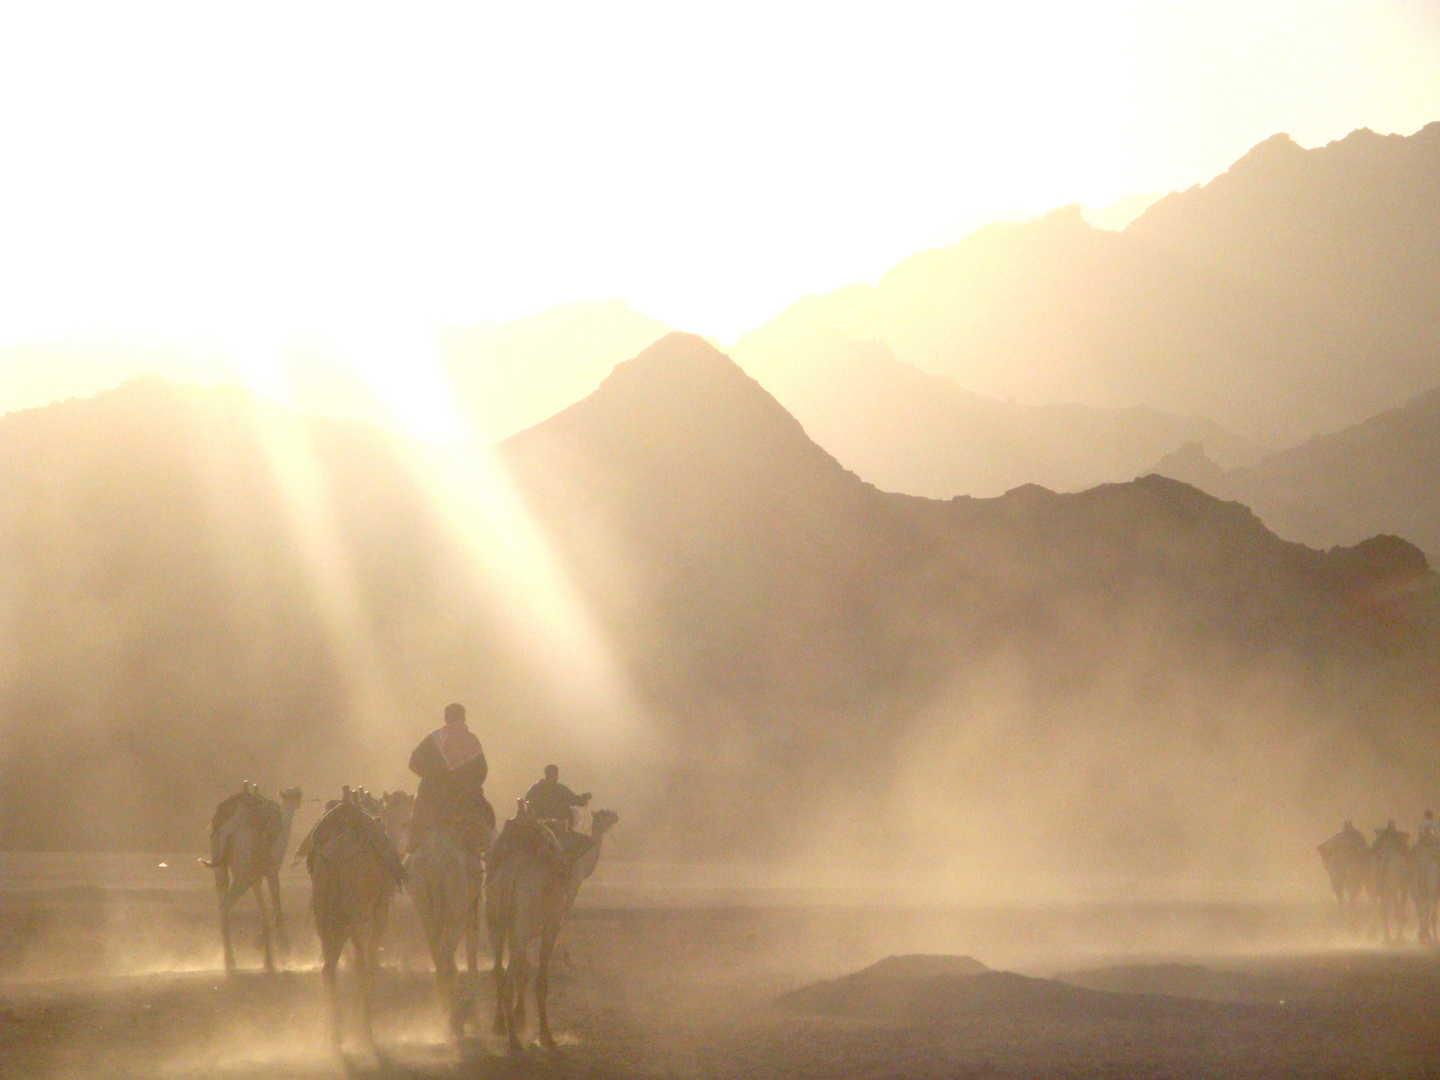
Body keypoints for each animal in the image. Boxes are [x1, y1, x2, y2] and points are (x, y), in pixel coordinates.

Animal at [204, 789, 302, 973]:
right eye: (293, 793)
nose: (300, 791)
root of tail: (228, 828)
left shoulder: (256, 878)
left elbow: (264, 912)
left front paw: (267, 960)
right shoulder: (271, 872)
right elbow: (277, 911)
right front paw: (285, 959)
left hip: (220, 864)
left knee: (222, 898)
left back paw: (228, 961)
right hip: (242, 873)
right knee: (225, 904)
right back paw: (231, 961)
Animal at [309, 789, 397, 1048]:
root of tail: (337, 858)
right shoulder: (379, 914)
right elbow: (367, 964)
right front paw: (358, 1029)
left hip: (325, 917)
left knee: (328, 969)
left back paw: (332, 1032)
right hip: (359, 918)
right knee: (359, 965)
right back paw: (363, 1031)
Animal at [486, 812, 616, 1048]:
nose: (588, 840)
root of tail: (511, 875)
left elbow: (524, 970)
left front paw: (520, 1018)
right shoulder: (550, 927)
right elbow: (540, 980)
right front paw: (545, 1035)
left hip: (496, 921)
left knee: (499, 970)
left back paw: (499, 1024)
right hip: (522, 924)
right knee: (508, 976)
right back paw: (513, 1041)